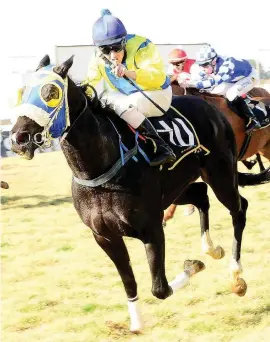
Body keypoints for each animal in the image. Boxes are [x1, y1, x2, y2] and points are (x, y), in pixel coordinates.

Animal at [9, 54, 268, 330]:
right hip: (177, 189)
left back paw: (236, 275)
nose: (18, 139)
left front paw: (193, 266)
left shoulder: (150, 229)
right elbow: (129, 282)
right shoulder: (105, 236)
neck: (99, 169)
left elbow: (160, 289)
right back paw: (212, 248)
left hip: (221, 176)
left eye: (51, 92)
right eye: (22, 91)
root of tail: (211, 108)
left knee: (239, 209)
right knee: (200, 195)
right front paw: (136, 323)